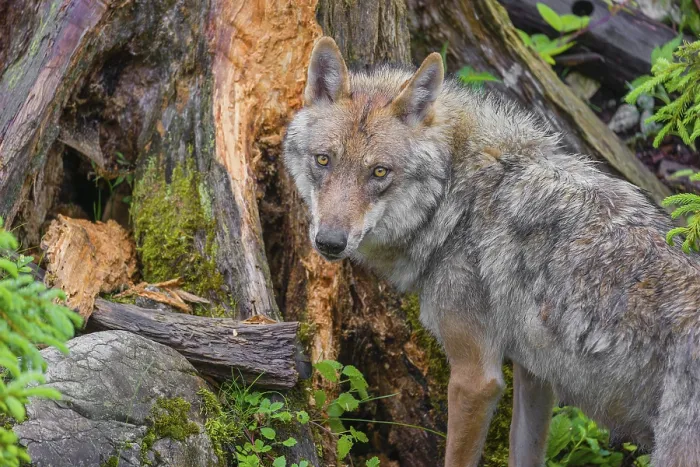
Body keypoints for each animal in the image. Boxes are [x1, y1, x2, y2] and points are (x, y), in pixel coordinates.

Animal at [282, 36, 700, 467]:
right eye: (323, 160)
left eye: (379, 172)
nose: (330, 241)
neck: (455, 201)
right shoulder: (536, 374)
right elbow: (525, 453)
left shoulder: (476, 379)